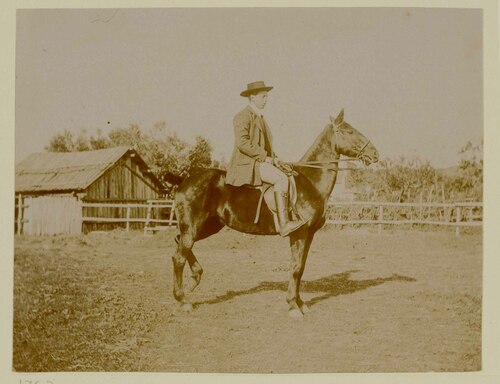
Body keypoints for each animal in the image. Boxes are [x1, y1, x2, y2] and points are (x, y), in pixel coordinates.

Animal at [168, 109, 378, 318]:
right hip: (194, 228)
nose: (375, 153)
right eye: (349, 132)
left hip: (208, 227)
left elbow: (301, 267)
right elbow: (296, 268)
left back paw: (194, 278)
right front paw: (293, 305)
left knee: (178, 242)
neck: (310, 182)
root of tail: (184, 180)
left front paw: (300, 303)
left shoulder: (309, 234)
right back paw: (183, 300)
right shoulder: (299, 233)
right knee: (178, 257)